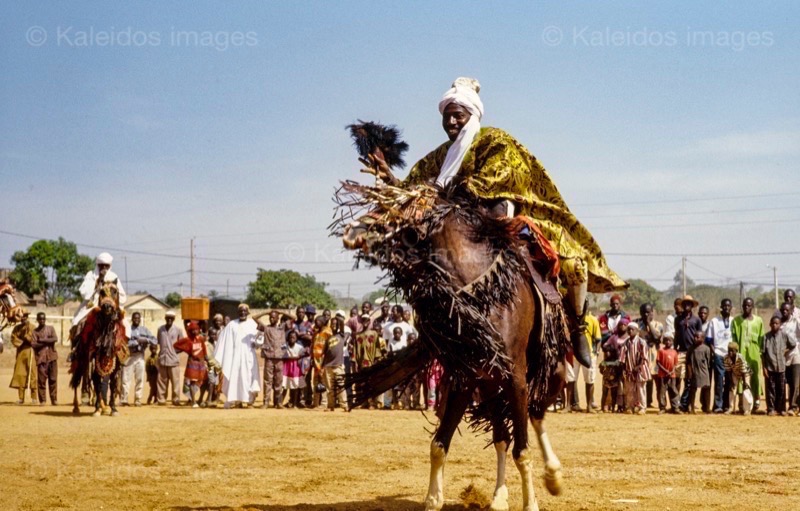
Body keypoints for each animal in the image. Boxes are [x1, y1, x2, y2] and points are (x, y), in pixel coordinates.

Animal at [69, 280, 130, 416]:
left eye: (115, 291)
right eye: (101, 292)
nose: (107, 307)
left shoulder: (116, 363)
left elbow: (112, 385)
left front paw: (113, 409)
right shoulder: (94, 360)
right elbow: (97, 384)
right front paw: (97, 409)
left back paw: (103, 407)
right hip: (80, 360)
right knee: (78, 381)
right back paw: (77, 406)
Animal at [334, 185, 572, 511]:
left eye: (402, 204)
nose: (352, 230)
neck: (484, 296)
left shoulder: (517, 379)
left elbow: (523, 452)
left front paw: (533, 502)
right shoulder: (466, 378)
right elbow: (439, 445)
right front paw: (433, 498)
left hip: (551, 375)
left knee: (536, 416)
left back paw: (554, 475)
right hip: (491, 386)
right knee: (501, 436)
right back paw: (499, 496)